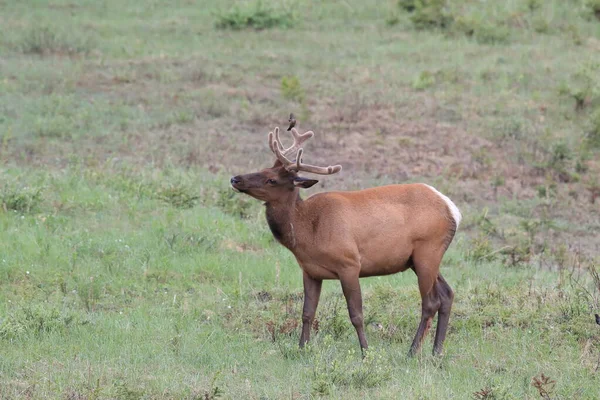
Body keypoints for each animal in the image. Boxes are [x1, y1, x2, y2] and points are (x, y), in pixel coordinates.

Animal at [229, 126, 460, 356]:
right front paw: (302, 348)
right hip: (419, 259)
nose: (235, 179)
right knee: (447, 294)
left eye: (272, 180)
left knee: (430, 301)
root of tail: (453, 210)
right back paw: (436, 351)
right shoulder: (310, 271)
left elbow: (356, 314)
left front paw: (365, 352)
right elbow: (307, 312)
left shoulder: (349, 263)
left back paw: (413, 352)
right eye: (262, 168)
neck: (307, 232)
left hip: (427, 251)